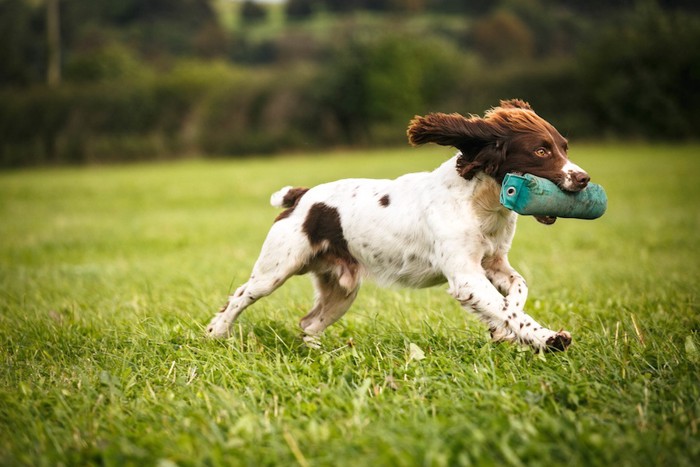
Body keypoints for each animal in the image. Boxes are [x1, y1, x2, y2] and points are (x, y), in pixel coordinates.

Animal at [208, 100, 592, 352]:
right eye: (541, 151)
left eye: (564, 146)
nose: (584, 178)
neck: (479, 201)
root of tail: (302, 196)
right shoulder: (466, 276)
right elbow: (509, 310)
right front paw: (547, 338)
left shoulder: (493, 263)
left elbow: (517, 291)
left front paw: (503, 329)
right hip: (276, 268)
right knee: (240, 296)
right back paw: (216, 333)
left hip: (342, 289)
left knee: (308, 323)